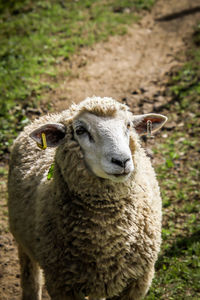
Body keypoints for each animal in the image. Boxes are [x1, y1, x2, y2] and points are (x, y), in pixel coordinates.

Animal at [7, 96, 167, 300]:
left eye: (128, 125)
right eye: (80, 130)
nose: (122, 161)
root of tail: (46, 116)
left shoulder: (137, 281)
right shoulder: (62, 284)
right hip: (21, 240)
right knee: (30, 275)